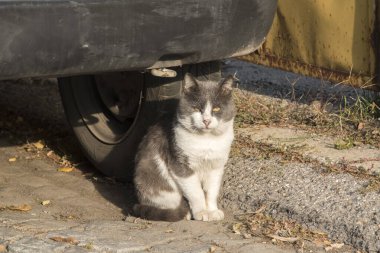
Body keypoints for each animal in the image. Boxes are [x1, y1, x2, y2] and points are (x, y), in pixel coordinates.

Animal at [133, 73, 235, 221]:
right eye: (196, 108)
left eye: (216, 108)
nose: (206, 120)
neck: (207, 140)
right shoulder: (180, 165)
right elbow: (196, 192)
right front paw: (201, 212)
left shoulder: (216, 166)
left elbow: (211, 190)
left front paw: (212, 211)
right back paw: (184, 213)